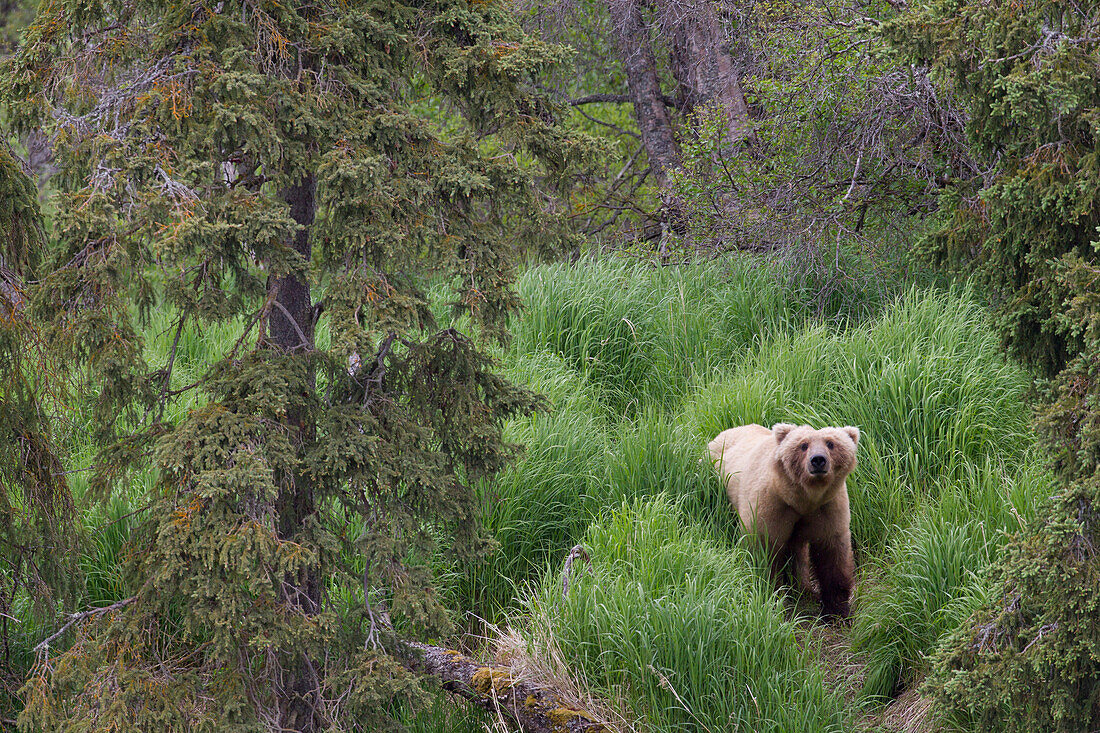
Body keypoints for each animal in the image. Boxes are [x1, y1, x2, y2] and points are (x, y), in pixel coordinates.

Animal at [712, 422, 858, 616]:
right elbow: (763, 551)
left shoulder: (828, 508)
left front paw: (836, 608)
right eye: (803, 445)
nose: (818, 460)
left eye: (830, 443)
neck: (803, 499)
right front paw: (772, 595)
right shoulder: (772, 506)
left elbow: (832, 555)